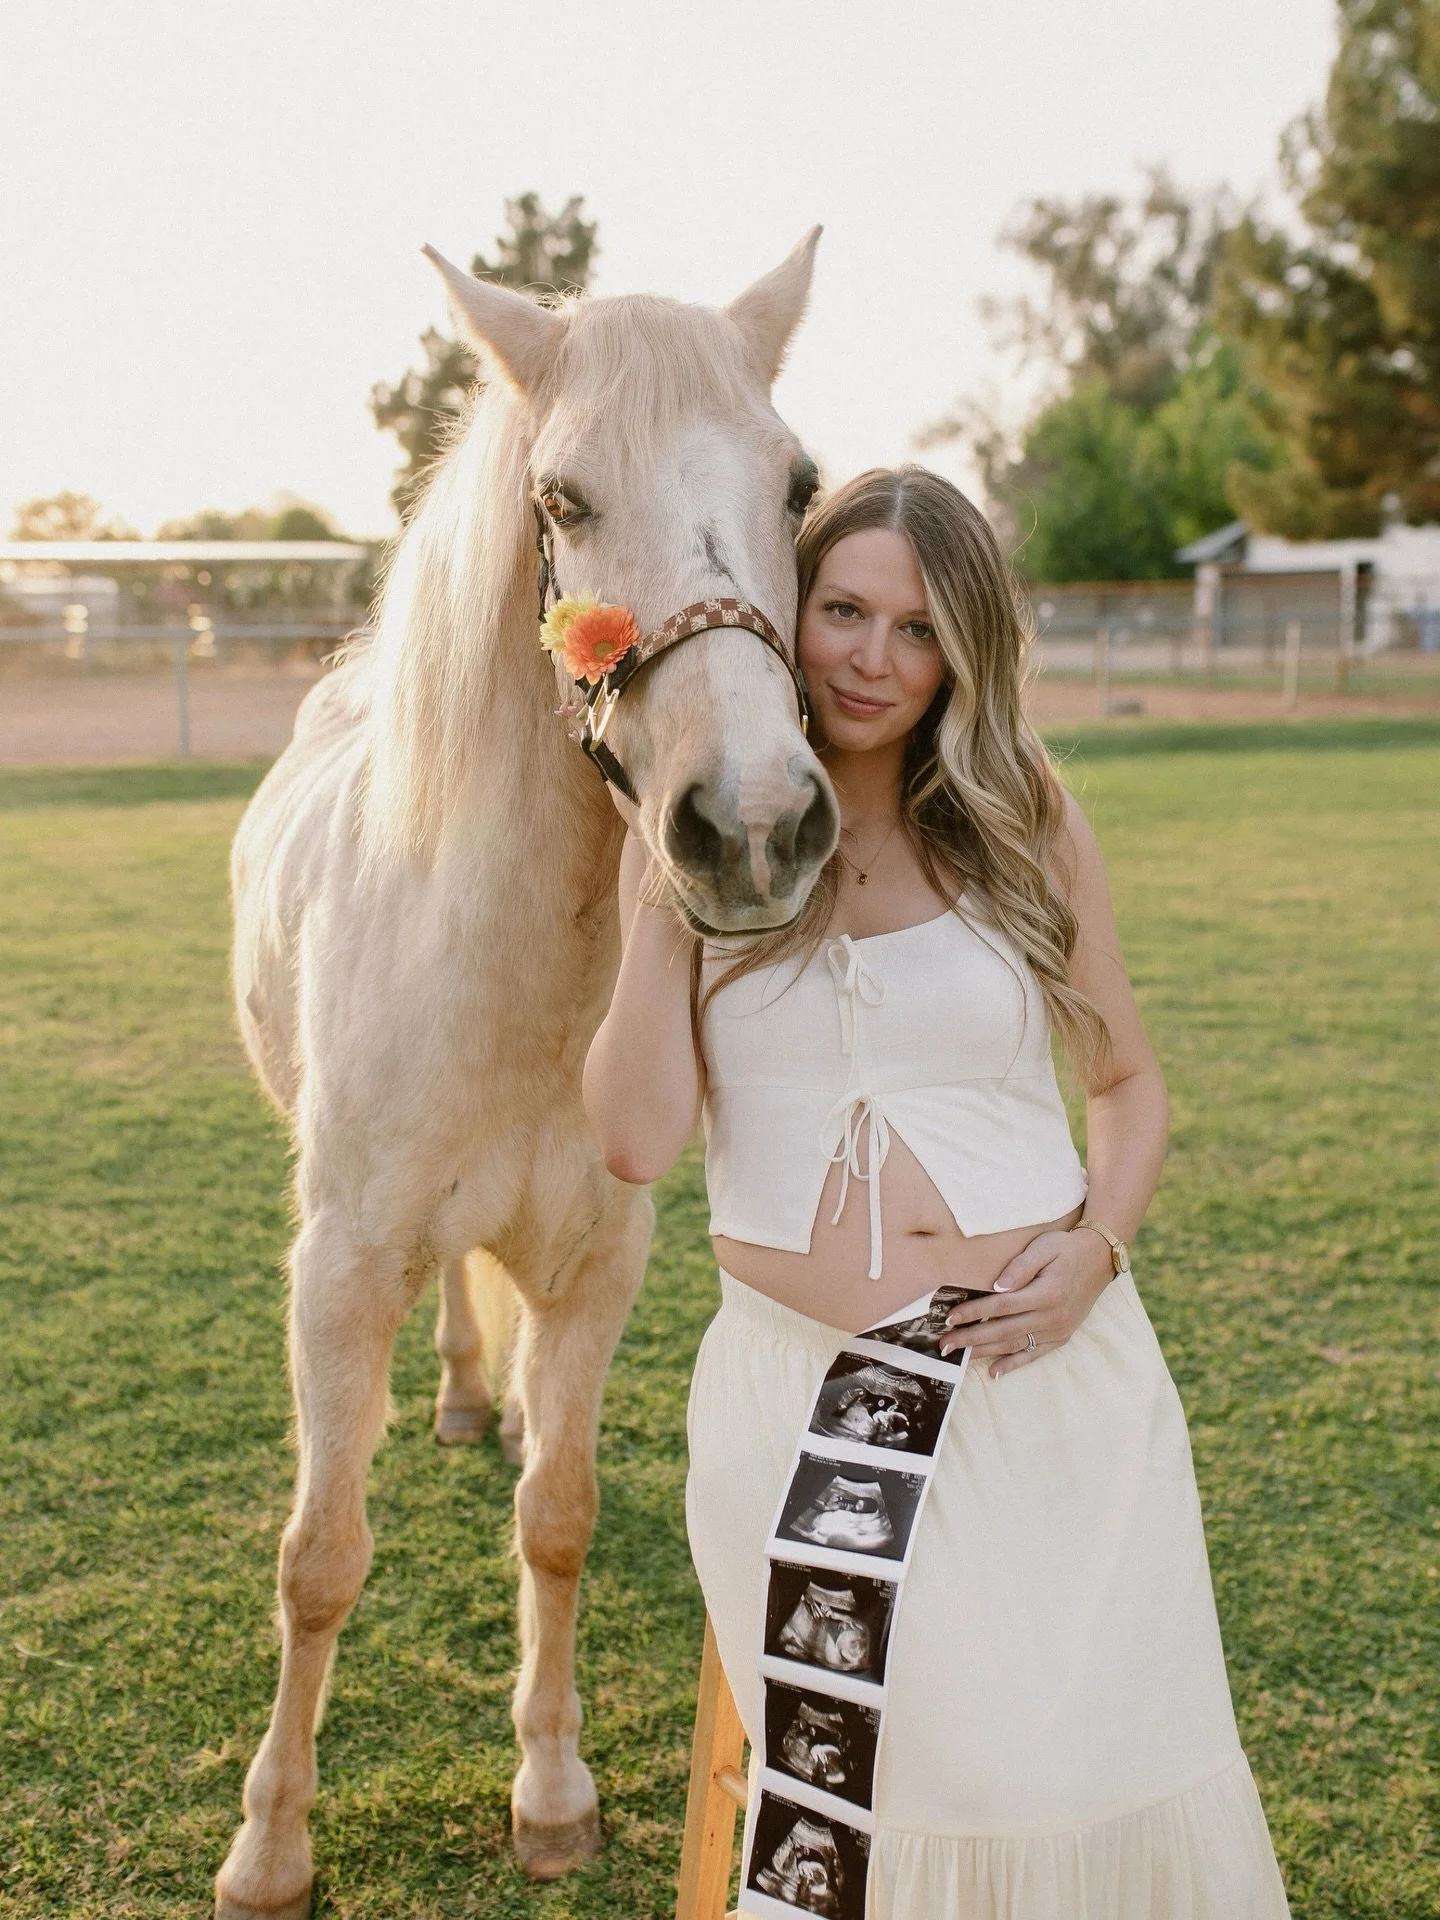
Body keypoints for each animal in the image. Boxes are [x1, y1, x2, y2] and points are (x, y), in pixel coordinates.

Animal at [215, 231, 839, 1919]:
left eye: (799, 484)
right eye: (562, 499)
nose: (756, 827)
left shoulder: (593, 1266)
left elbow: (556, 1520)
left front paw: (551, 1793)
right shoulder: (338, 1273)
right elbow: (317, 1557)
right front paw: (270, 1845)